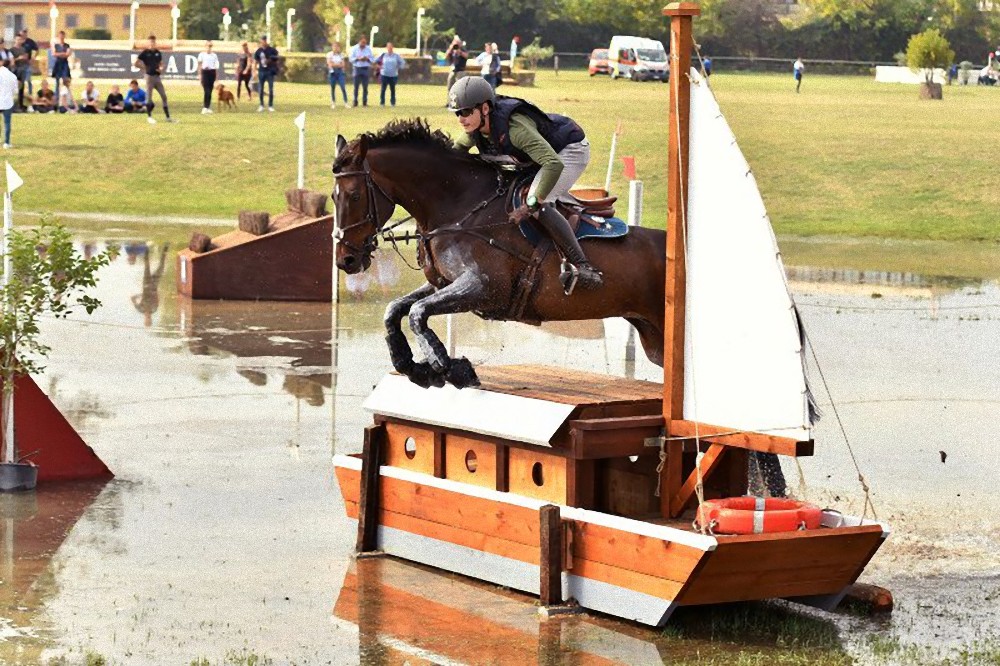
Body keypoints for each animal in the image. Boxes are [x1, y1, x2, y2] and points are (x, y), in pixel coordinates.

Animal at [332, 119, 668, 390]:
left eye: (355, 195)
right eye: (334, 197)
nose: (345, 260)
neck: (460, 206)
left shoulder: (484, 286)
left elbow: (417, 313)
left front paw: (449, 367)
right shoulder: (443, 284)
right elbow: (395, 310)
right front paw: (413, 366)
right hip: (654, 341)